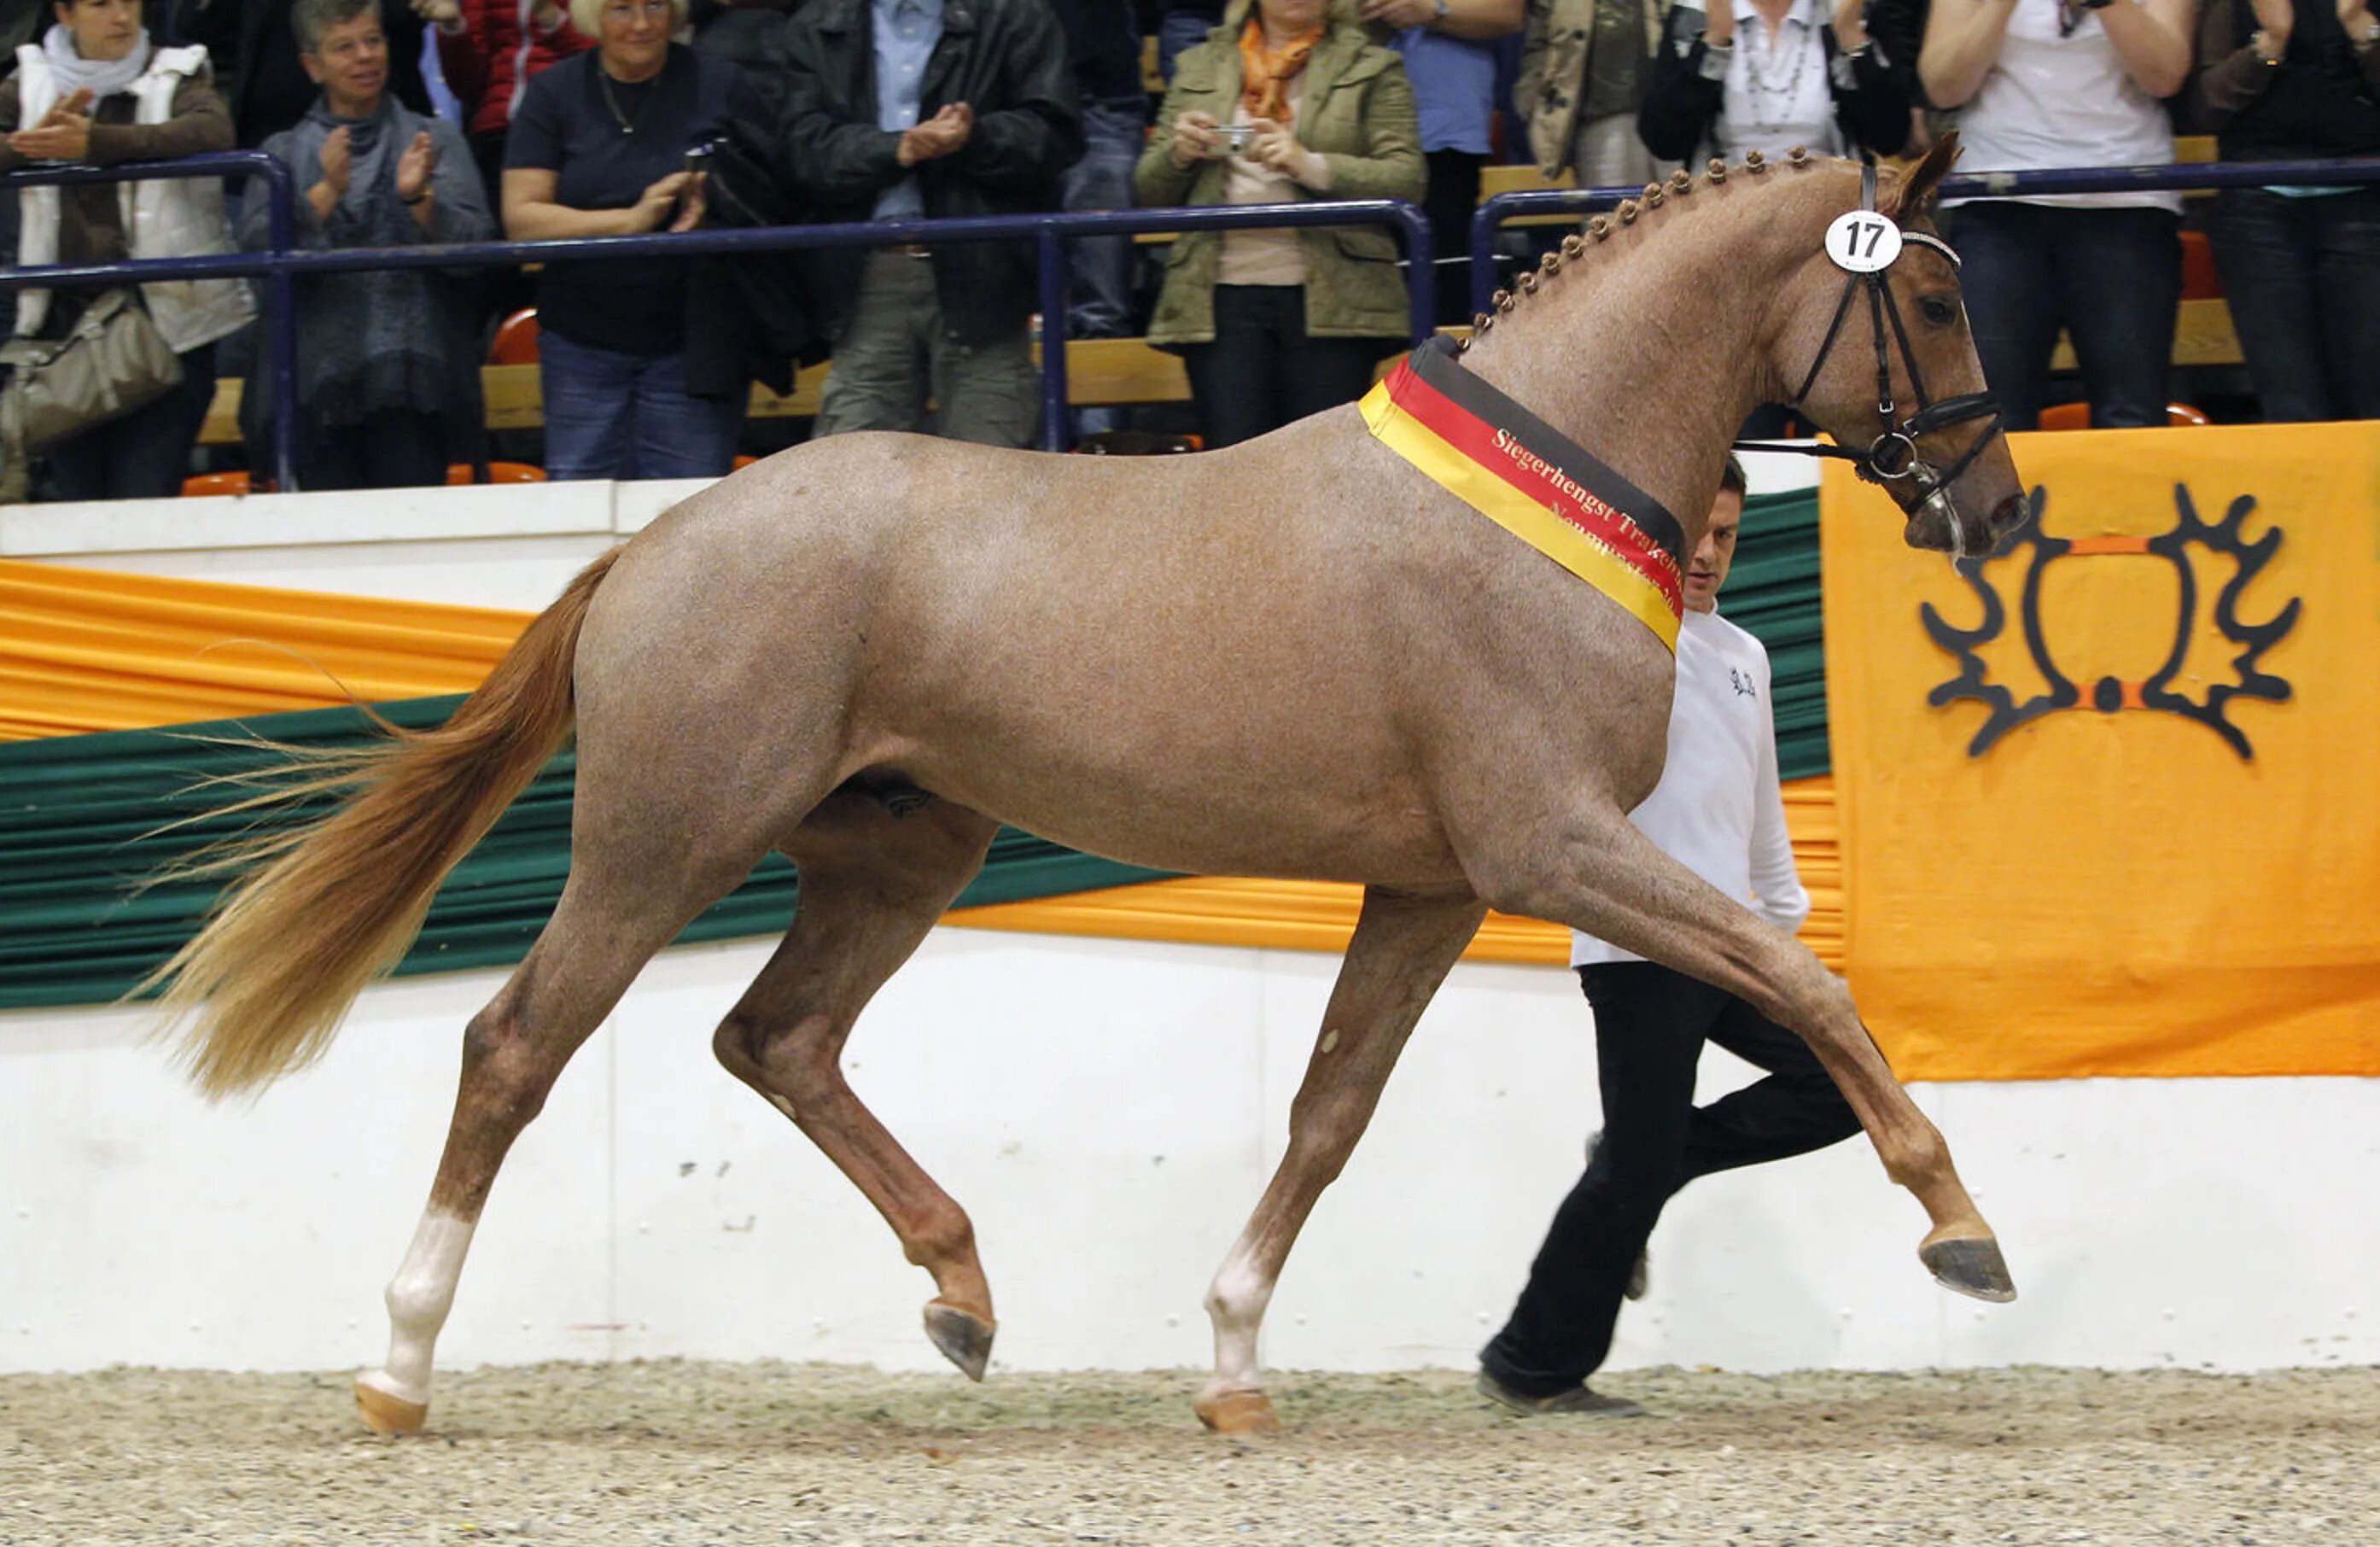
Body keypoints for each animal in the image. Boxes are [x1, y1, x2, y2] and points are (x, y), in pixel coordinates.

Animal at [158, 138, 2037, 1427]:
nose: (1994, 504)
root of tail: (659, 541)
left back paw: (963, 1297)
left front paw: (1231, 1359)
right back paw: (399, 1364)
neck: (1539, 496)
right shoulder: (1548, 844)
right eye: (1936, 296)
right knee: (516, 1046)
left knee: (776, 1038)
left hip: (896, 850)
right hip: (666, 837)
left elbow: (1332, 1111)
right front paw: (1960, 1230)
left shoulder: (1434, 883)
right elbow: (1798, 971)